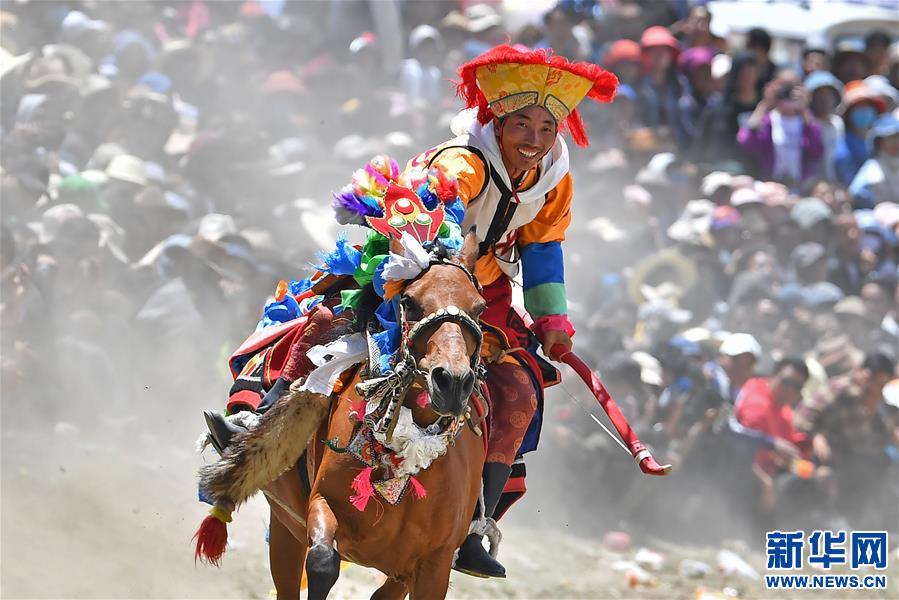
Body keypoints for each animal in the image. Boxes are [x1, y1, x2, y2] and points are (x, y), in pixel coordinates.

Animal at [200, 231, 488, 600]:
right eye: (410, 302)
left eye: (479, 308)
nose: (451, 381)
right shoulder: (322, 506)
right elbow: (323, 562)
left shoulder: (432, 568)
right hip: (285, 526)